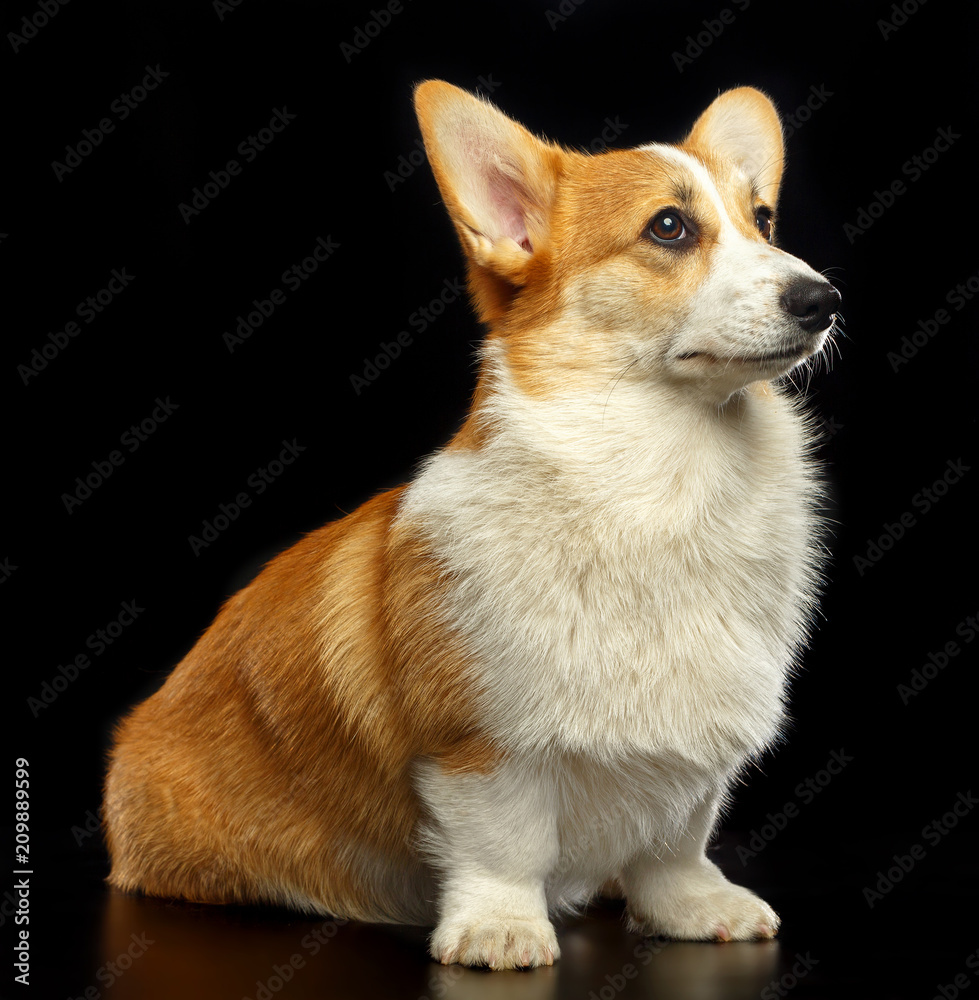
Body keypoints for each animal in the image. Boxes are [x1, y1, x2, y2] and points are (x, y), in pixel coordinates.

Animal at [107, 84, 844, 968]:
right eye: (668, 227)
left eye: (762, 220)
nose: (824, 299)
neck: (662, 480)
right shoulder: (480, 748)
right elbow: (506, 844)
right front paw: (500, 929)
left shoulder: (697, 756)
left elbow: (675, 841)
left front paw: (692, 905)